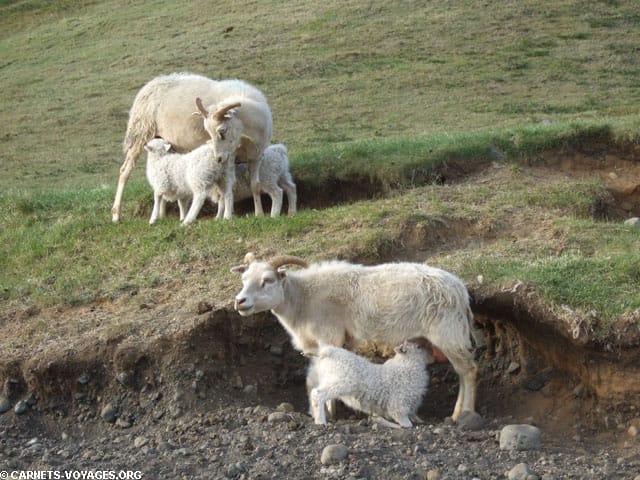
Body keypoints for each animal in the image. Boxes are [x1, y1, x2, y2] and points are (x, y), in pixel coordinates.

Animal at [112, 72, 272, 222]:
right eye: (208, 132)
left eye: (222, 131)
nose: (217, 158)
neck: (247, 135)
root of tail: (152, 83)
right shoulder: (230, 157)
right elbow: (226, 188)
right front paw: (221, 216)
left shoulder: (257, 156)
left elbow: (255, 185)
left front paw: (259, 213)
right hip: (140, 133)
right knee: (125, 171)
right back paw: (116, 215)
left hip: (165, 141)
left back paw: (162, 214)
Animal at [231, 253, 477, 421]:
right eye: (243, 279)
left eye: (268, 280)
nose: (239, 302)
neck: (302, 301)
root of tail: (461, 291)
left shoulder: (329, 338)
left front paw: (330, 412)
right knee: (461, 372)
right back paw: (456, 414)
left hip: (448, 333)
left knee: (468, 371)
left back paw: (466, 413)